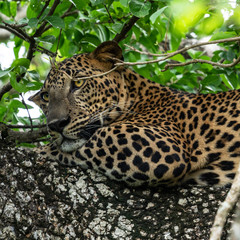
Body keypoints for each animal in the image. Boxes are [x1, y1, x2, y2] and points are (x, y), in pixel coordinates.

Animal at [29, 40, 240, 188]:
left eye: (78, 83)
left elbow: (97, 138)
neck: (139, 98)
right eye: (46, 96)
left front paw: (40, 150)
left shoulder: (163, 145)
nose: (56, 124)